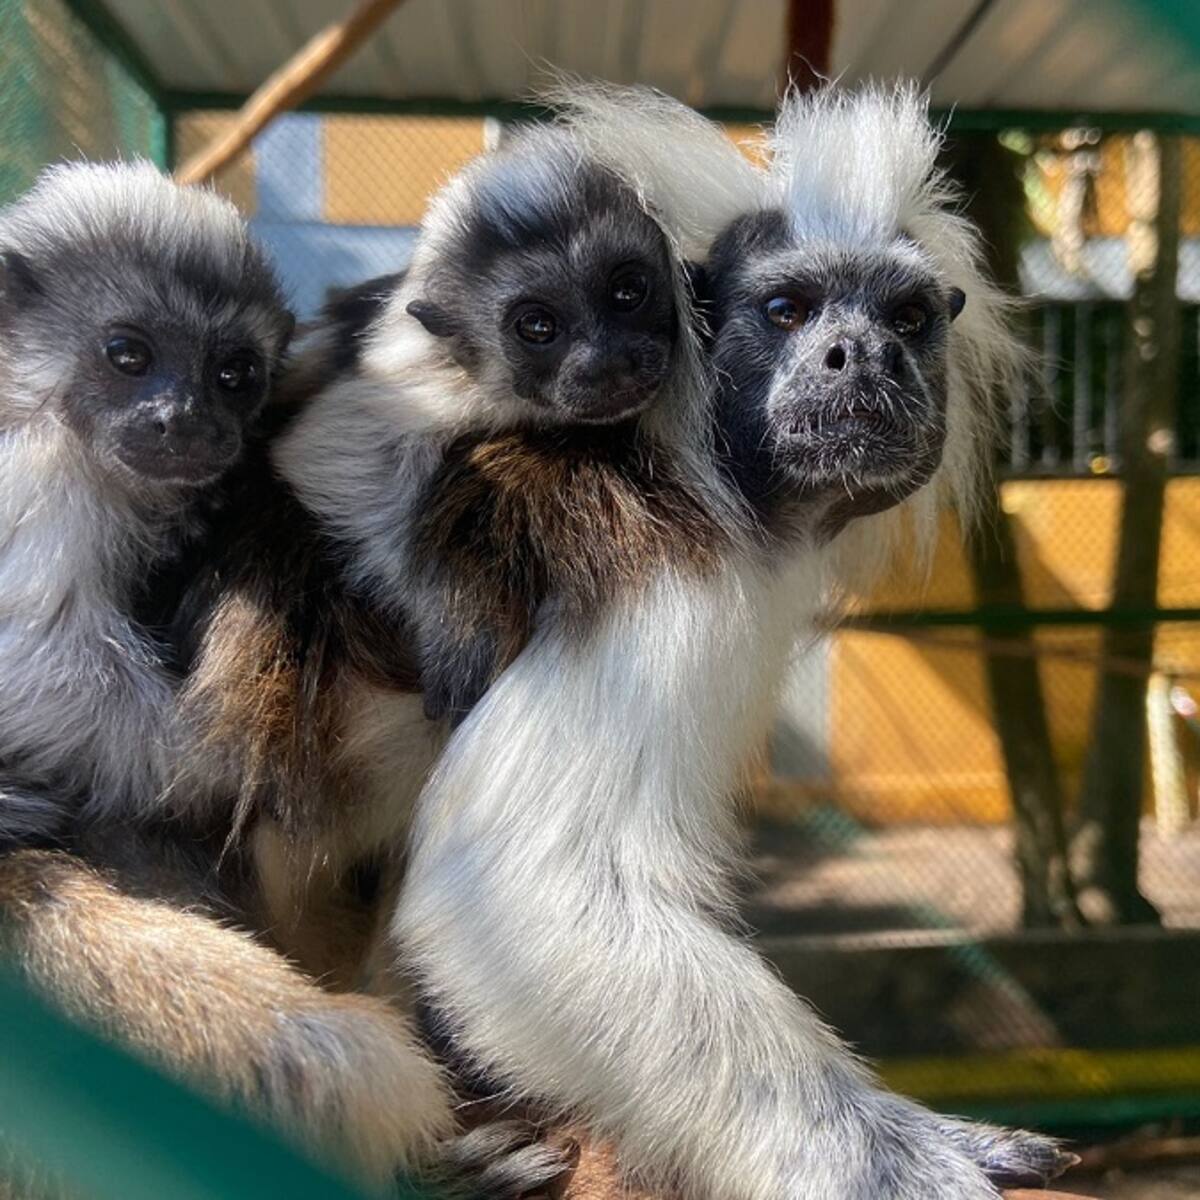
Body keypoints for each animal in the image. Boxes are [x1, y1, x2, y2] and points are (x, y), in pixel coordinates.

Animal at [391, 84, 1076, 1200]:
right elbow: (526, 876)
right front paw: (893, 1158)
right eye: (788, 311)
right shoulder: (662, 576)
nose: (862, 357)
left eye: (906, 318)